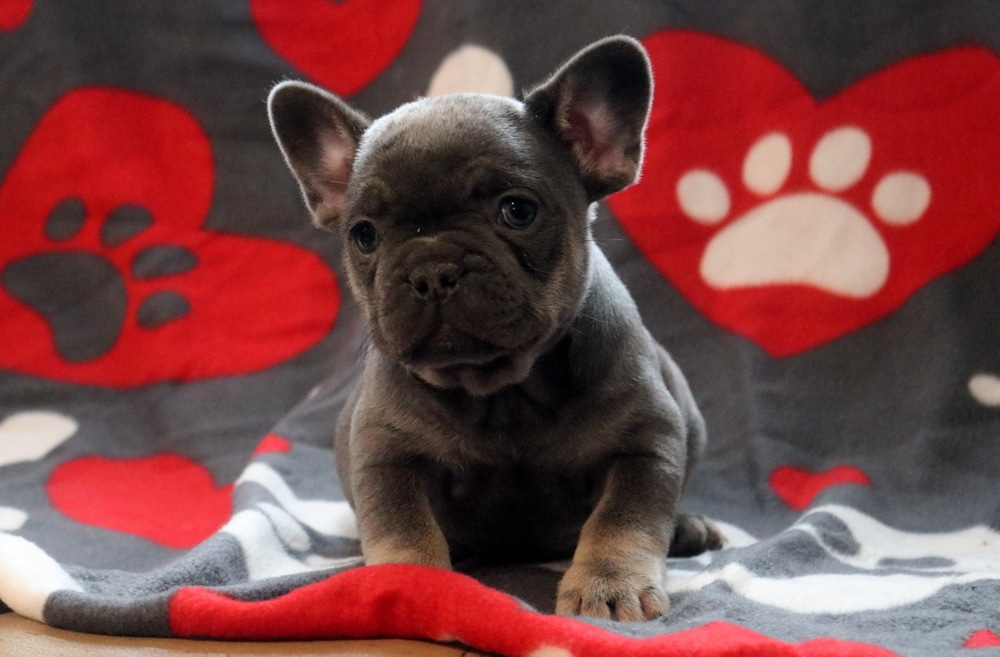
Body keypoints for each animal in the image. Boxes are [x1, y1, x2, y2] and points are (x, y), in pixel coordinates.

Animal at [267, 36, 722, 622]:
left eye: (517, 210)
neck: (505, 392)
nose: (432, 271)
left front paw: (609, 584)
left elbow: (622, 519)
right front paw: (408, 585)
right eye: (364, 236)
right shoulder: (387, 455)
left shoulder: (646, 440)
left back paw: (688, 529)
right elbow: (403, 528)